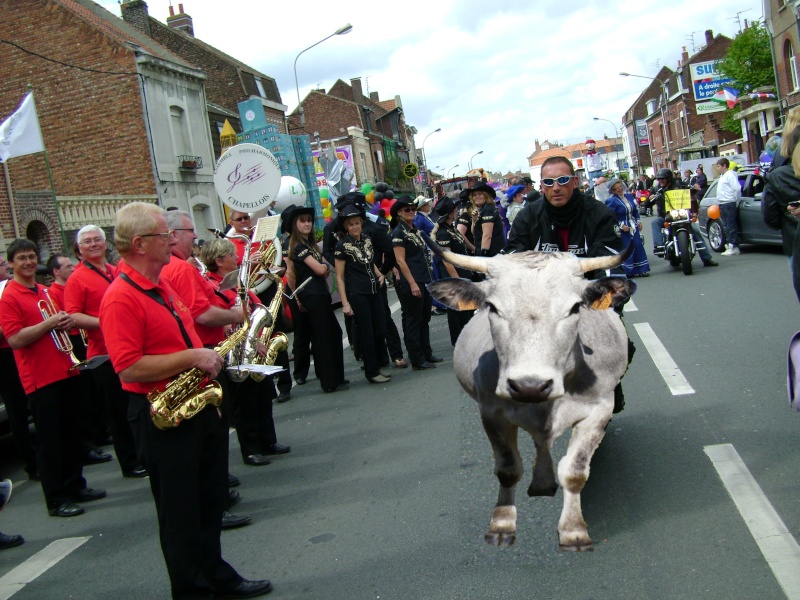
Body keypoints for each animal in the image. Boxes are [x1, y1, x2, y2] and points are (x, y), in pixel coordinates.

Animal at [428, 248, 636, 552]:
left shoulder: (599, 411)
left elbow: (574, 471)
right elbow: (508, 468)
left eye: (575, 308)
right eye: (493, 308)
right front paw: (501, 526)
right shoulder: (491, 412)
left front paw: (573, 531)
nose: (530, 386)